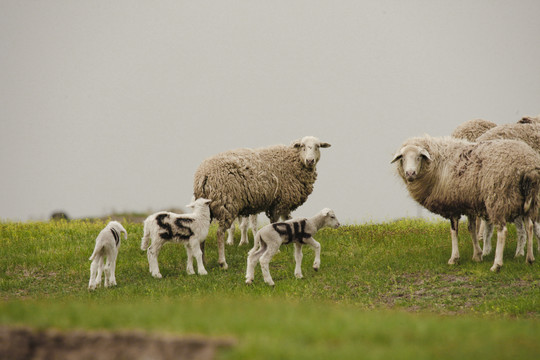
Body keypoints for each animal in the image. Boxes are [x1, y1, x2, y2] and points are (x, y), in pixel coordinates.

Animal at [192, 136, 332, 270]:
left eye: (318, 146)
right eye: (302, 146)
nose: (310, 161)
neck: (293, 160)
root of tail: (204, 175)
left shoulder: (284, 203)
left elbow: (288, 221)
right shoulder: (279, 202)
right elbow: (275, 223)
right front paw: (278, 248)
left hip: (207, 208)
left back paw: (203, 261)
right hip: (226, 204)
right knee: (220, 233)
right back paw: (223, 263)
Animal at [392, 136, 540, 272]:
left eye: (419, 157)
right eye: (402, 158)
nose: (410, 173)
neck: (438, 163)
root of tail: (527, 165)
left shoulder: (452, 205)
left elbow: (454, 231)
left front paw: (454, 258)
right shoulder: (469, 203)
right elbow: (472, 229)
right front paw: (477, 255)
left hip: (499, 198)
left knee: (502, 231)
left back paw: (497, 265)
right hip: (526, 201)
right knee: (529, 226)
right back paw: (529, 259)